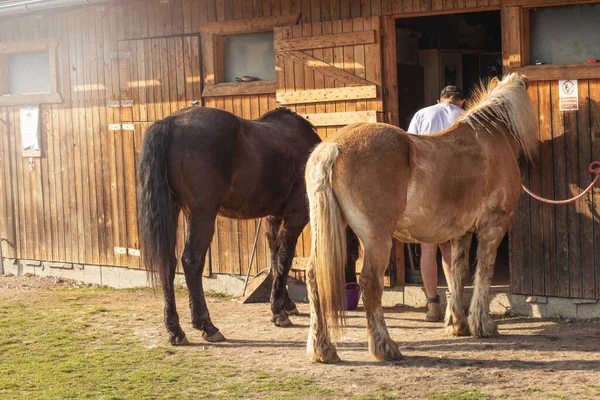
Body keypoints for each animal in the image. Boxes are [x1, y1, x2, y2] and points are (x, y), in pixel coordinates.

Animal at [137, 108, 354, 346]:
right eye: (353, 254)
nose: (350, 292)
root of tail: (171, 123)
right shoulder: (296, 217)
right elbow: (285, 258)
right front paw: (278, 312)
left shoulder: (272, 218)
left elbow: (276, 259)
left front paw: (285, 304)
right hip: (201, 215)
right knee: (191, 262)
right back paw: (207, 326)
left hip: (173, 209)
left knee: (167, 262)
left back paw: (175, 330)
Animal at [304, 72, 540, 362]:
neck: (492, 136)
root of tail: (333, 146)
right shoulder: (493, 226)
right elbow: (484, 272)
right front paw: (483, 324)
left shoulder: (462, 232)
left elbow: (458, 273)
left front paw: (457, 323)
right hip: (377, 239)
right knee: (370, 283)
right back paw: (385, 347)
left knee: (314, 278)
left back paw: (322, 349)